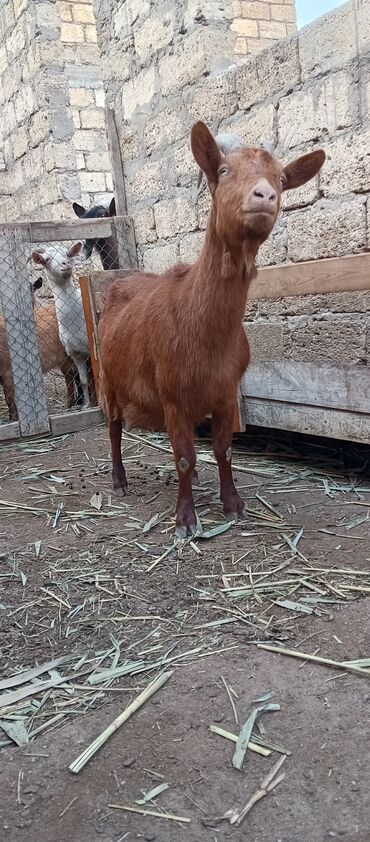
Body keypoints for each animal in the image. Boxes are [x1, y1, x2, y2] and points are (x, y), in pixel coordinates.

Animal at [32, 240, 91, 406]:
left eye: (67, 254)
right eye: (47, 259)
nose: (66, 263)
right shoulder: (76, 353)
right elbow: (84, 380)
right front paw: (87, 404)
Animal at [99, 120, 324, 536]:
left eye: (282, 178)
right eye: (223, 170)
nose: (264, 195)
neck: (199, 325)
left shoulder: (224, 393)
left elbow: (223, 450)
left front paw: (232, 504)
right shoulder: (172, 396)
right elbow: (185, 457)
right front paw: (185, 519)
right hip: (108, 378)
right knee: (115, 427)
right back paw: (119, 481)